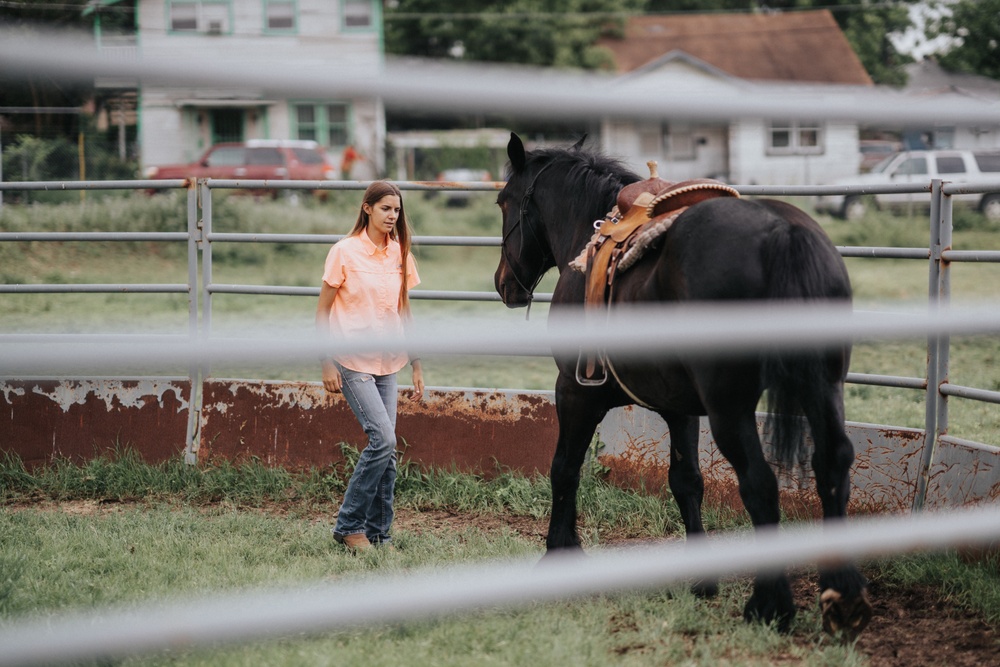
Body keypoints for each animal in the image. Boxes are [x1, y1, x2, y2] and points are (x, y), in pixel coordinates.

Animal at [496, 132, 872, 636]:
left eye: (503, 201)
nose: (504, 284)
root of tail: (782, 231)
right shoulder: (680, 410)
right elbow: (686, 481)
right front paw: (701, 579)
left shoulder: (575, 393)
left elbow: (564, 468)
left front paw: (559, 551)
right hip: (822, 389)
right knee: (832, 464)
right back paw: (842, 597)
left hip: (731, 408)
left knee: (760, 482)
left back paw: (770, 604)